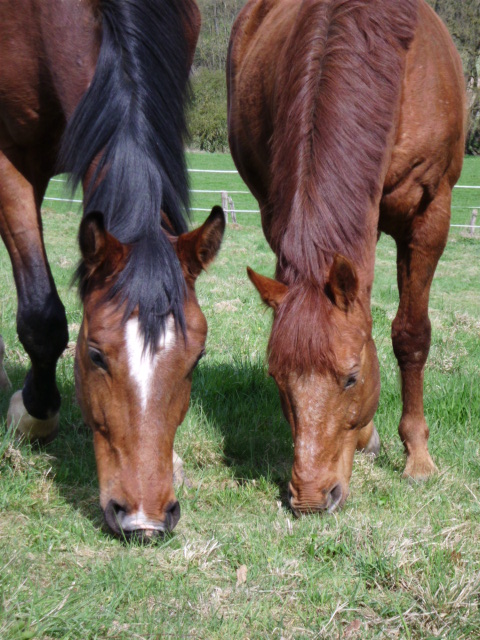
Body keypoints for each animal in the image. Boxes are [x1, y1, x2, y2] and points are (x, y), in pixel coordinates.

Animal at [0, 0, 225, 536]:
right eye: (95, 355)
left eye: (196, 360)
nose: (144, 520)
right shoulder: (8, 158)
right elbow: (41, 315)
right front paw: (33, 414)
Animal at [228, 0, 464, 512]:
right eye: (277, 378)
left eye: (352, 379)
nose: (311, 498)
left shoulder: (430, 214)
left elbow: (411, 335)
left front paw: (418, 458)